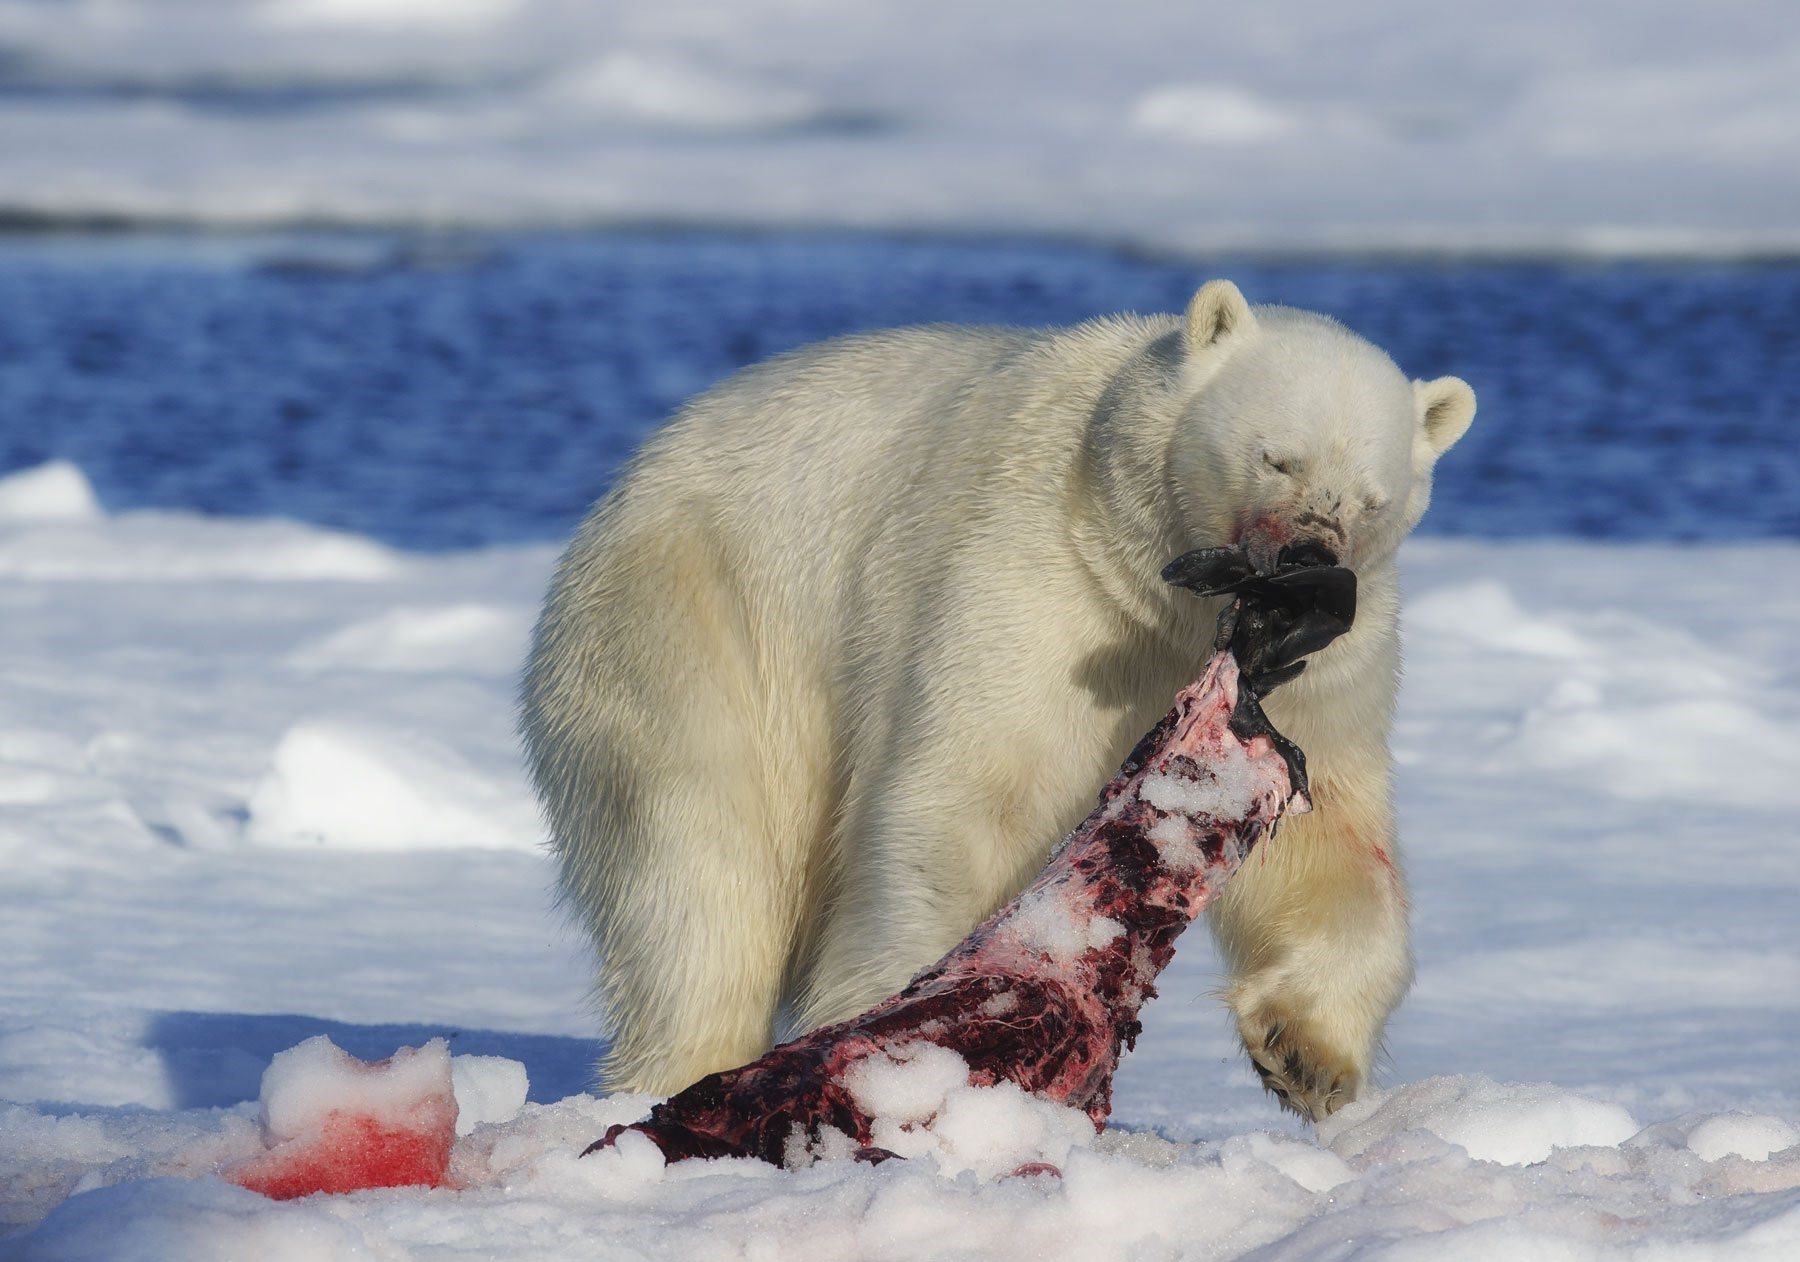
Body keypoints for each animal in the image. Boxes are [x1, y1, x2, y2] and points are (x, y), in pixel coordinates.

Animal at [522, 280, 1476, 1116]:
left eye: (1372, 500)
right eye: (1277, 457)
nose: (1310, 557)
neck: (1154, 588)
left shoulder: (1327, 672)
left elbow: (1331, 844)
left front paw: (1306, 1057)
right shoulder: (1034, 574)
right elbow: (972, 796)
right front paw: (917, 1046)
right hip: (692, 623)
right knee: (700, 867)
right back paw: (684, 1069)